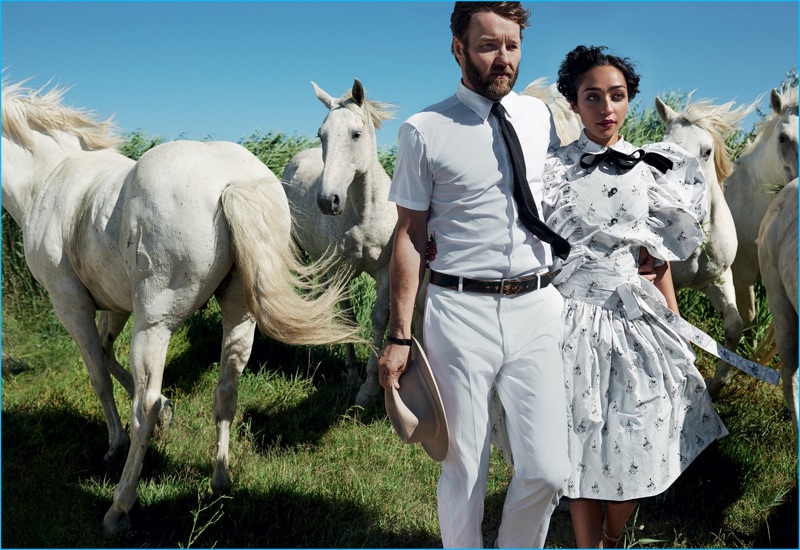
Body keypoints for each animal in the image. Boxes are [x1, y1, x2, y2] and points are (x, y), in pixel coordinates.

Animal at [0, 80, 362, 536]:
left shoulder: (70, 304)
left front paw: (116, 443)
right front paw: (167, 415)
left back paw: (119, 507)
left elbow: (99, 375)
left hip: (154, 324)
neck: (48, 178)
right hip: (237, 315)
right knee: (225, 392)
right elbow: (107, 356)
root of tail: (231, 182)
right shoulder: (115, 306)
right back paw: (220, 481)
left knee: (144, 406)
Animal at [282, 78, 396, 406]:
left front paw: (370, 388)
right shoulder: (341, 271)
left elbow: (379, 318)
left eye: (356, 134)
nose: (327, 200)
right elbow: (347, 318)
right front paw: (353, 377)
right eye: (322, 135)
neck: (364, 213)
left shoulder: (385, 271)